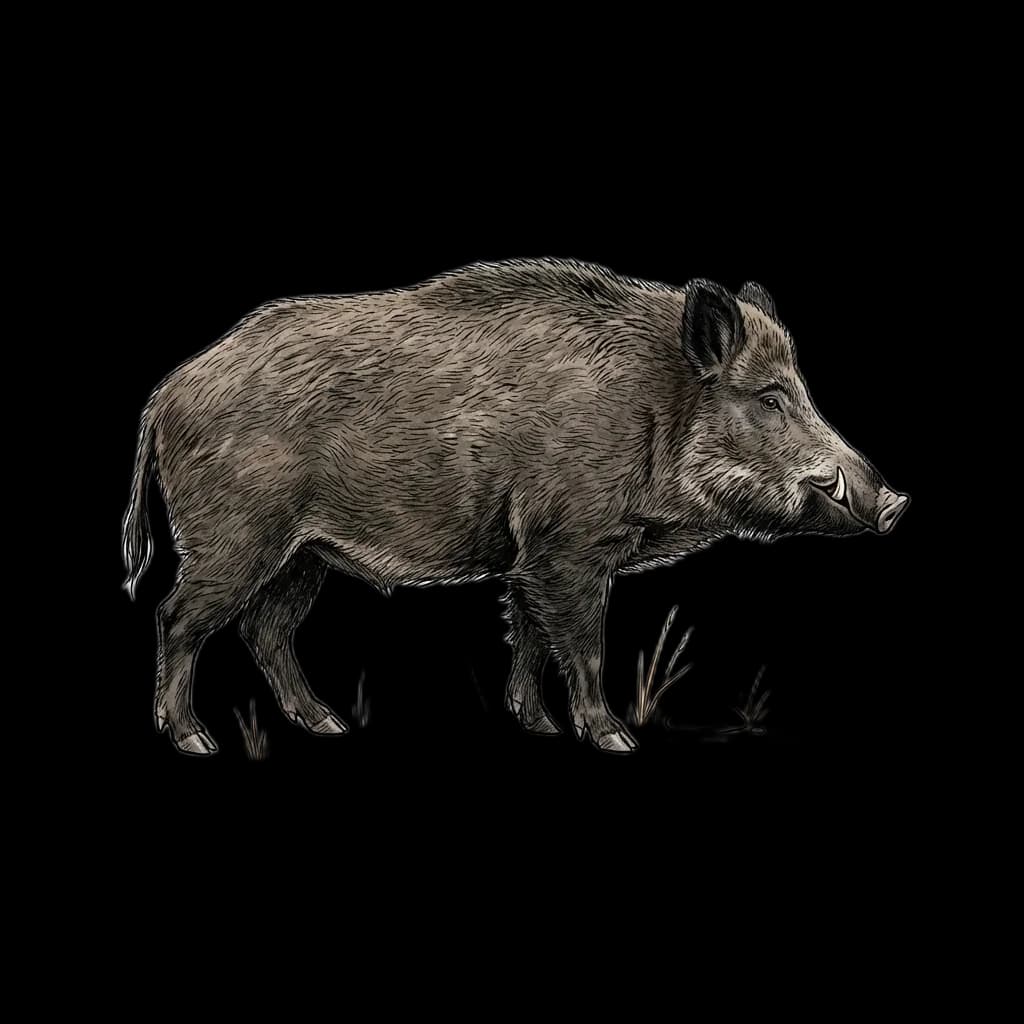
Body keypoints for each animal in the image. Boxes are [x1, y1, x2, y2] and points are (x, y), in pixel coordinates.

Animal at [122, 259, 909, 755]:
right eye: (770, 398)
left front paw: (539, 729)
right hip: (235, 537)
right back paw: (195, 740)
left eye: (799, 390)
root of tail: (165, 393)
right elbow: (584, 645)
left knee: (267, 630)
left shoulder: (529, 556)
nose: (896, 503)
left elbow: (528, 636)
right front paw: (615, 739)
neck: (653, 408)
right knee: (178, 616)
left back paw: (330, 727)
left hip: (303, 555)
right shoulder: (568, 546)